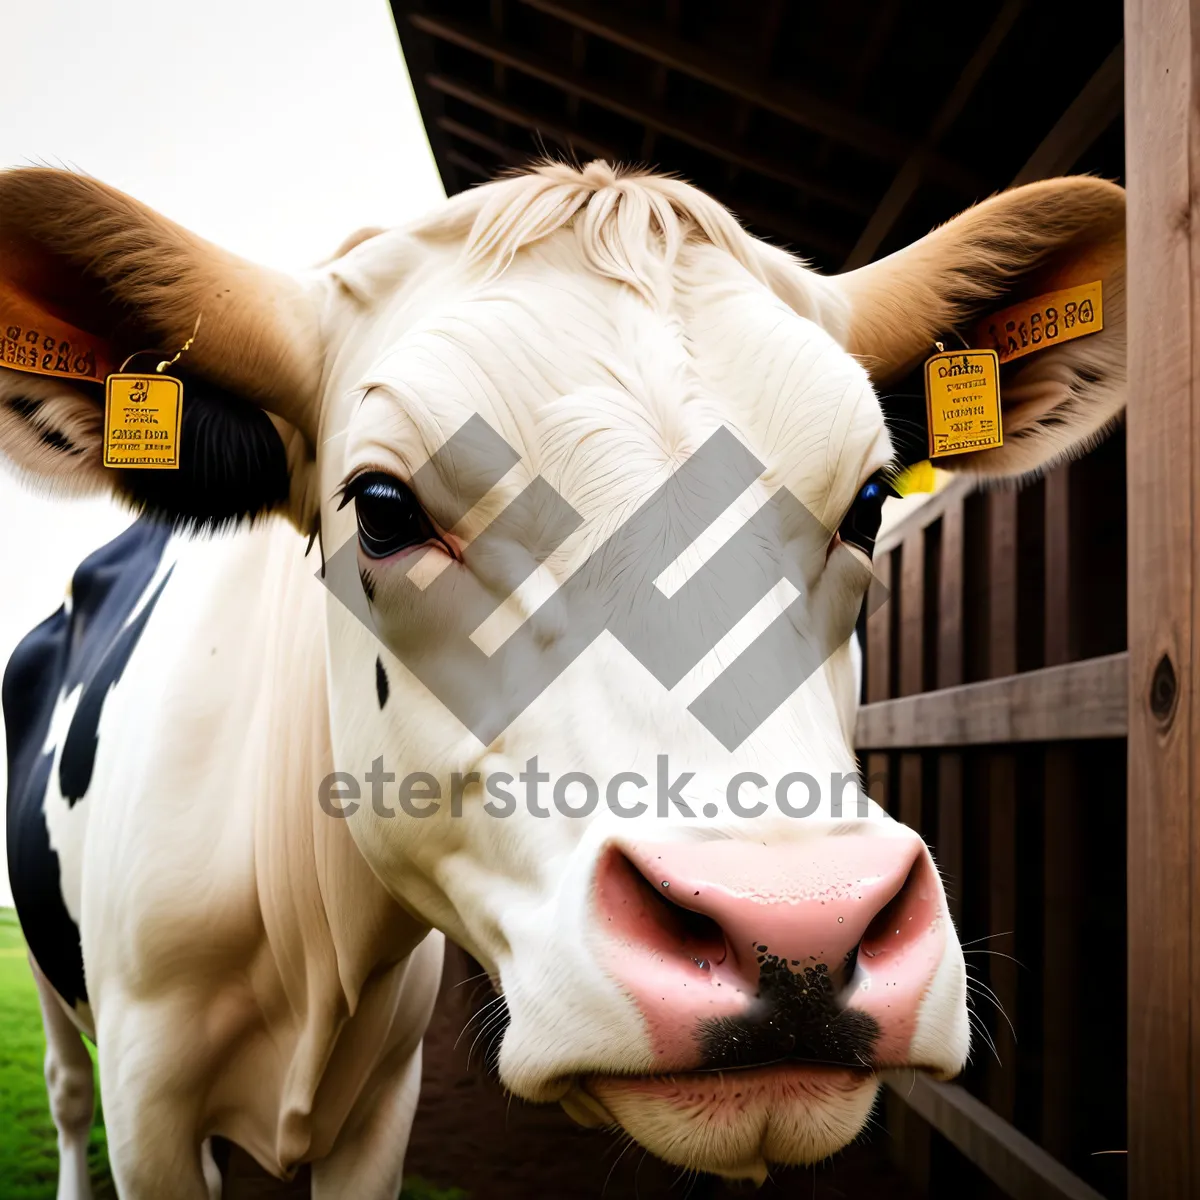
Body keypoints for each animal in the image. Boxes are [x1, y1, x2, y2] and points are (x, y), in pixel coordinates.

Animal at [0, 162, 1123, 1200]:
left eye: (870, 503)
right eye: (383, 507)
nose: (798, 931)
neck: (307, 945)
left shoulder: (380, 1102)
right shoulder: (149, 1104)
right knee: (63, 1089)